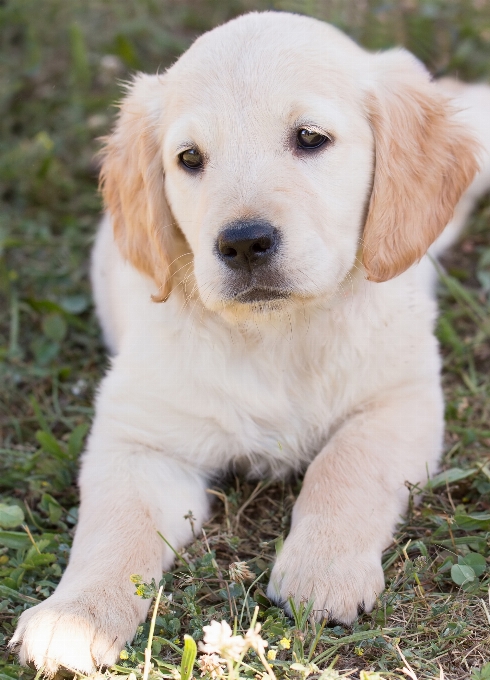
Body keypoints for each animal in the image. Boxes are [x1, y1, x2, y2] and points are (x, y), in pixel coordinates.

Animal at [10, 9, 490, 676]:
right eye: (189, 158)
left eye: (310, 138)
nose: (242, 243)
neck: (277, 334)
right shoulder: (140, 439)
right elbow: (115, 526)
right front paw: (76, 616)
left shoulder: (400, 399)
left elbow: (347, 467)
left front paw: (322, 570)